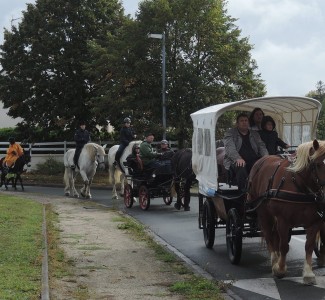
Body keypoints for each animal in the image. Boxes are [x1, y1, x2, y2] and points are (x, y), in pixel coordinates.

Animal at [246, 139, 324, 284]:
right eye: (317, 164)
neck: (300, 185)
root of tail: (261, 161)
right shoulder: (283, 220)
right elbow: (283, 246)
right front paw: (280, 269)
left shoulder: (315, 222)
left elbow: (309, 246)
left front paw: (308, 273)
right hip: (264, 214)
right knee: (269, 237)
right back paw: (274, 261)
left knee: (274, 237)